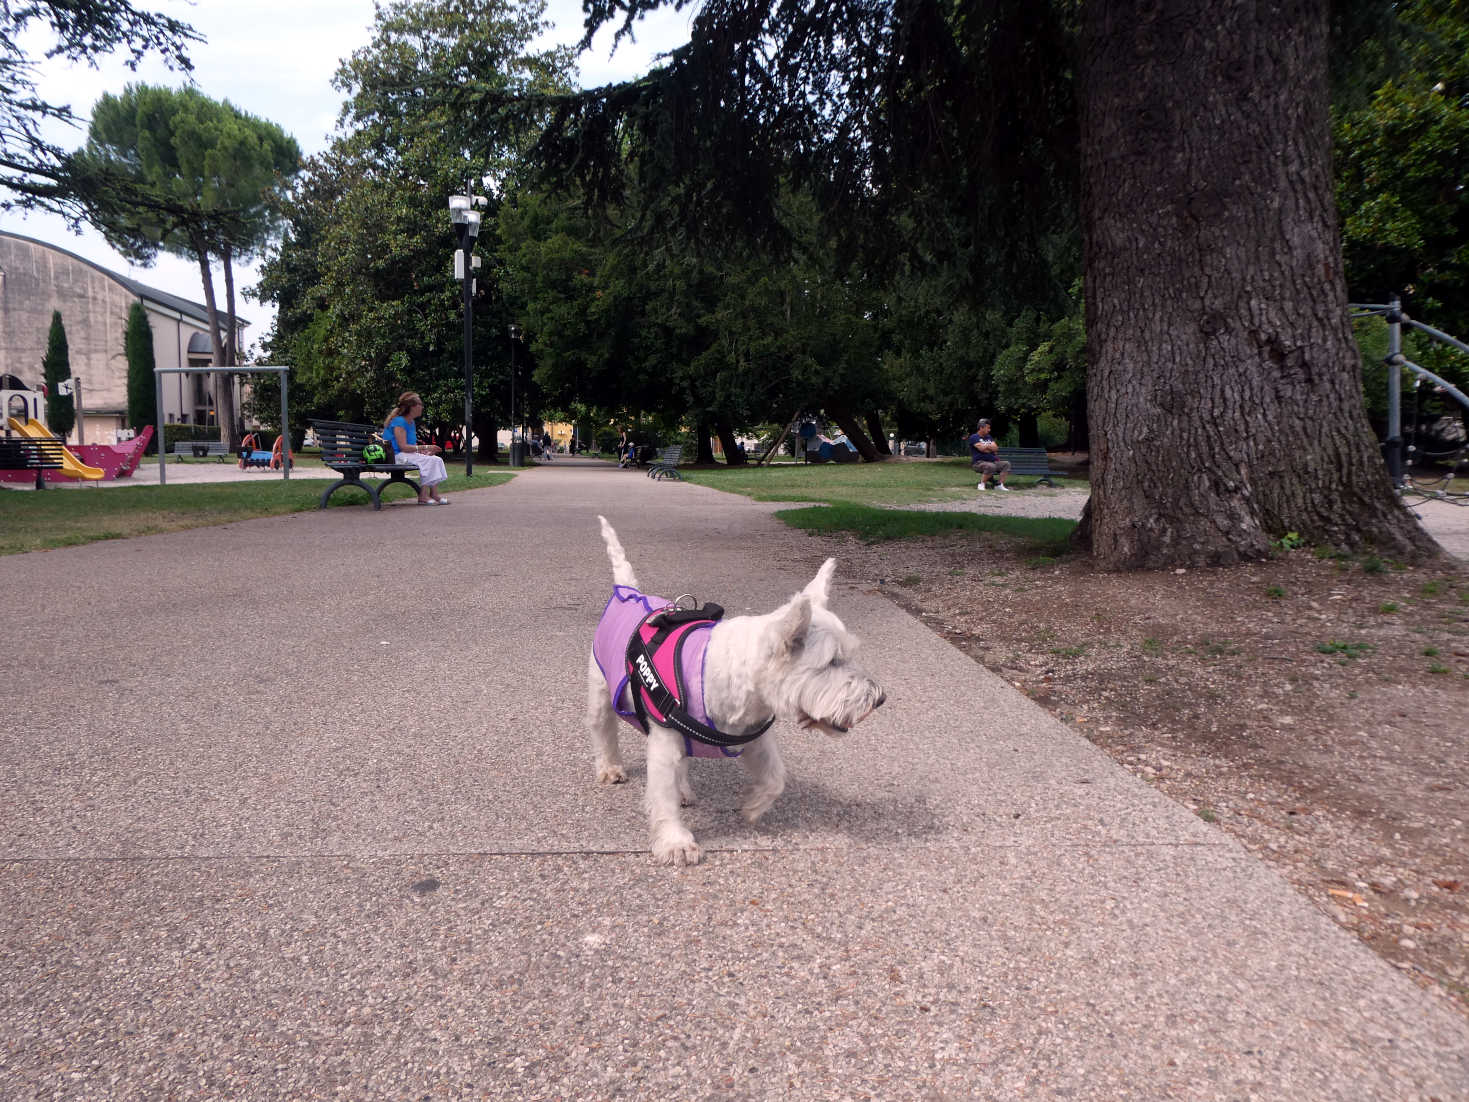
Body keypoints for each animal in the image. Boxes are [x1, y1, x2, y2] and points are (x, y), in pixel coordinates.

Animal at [587, 514, 881, 869]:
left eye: (849, 655)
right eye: (832, 661)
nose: (879, 699)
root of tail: (628, 591)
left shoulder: (752, 736)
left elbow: (775, 776)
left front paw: (753, 806)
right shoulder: (664, 743)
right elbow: (662, 795)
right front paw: (675, 842)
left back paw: (684, 790)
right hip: (600, 687)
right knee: (603, 730)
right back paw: (610, 768)